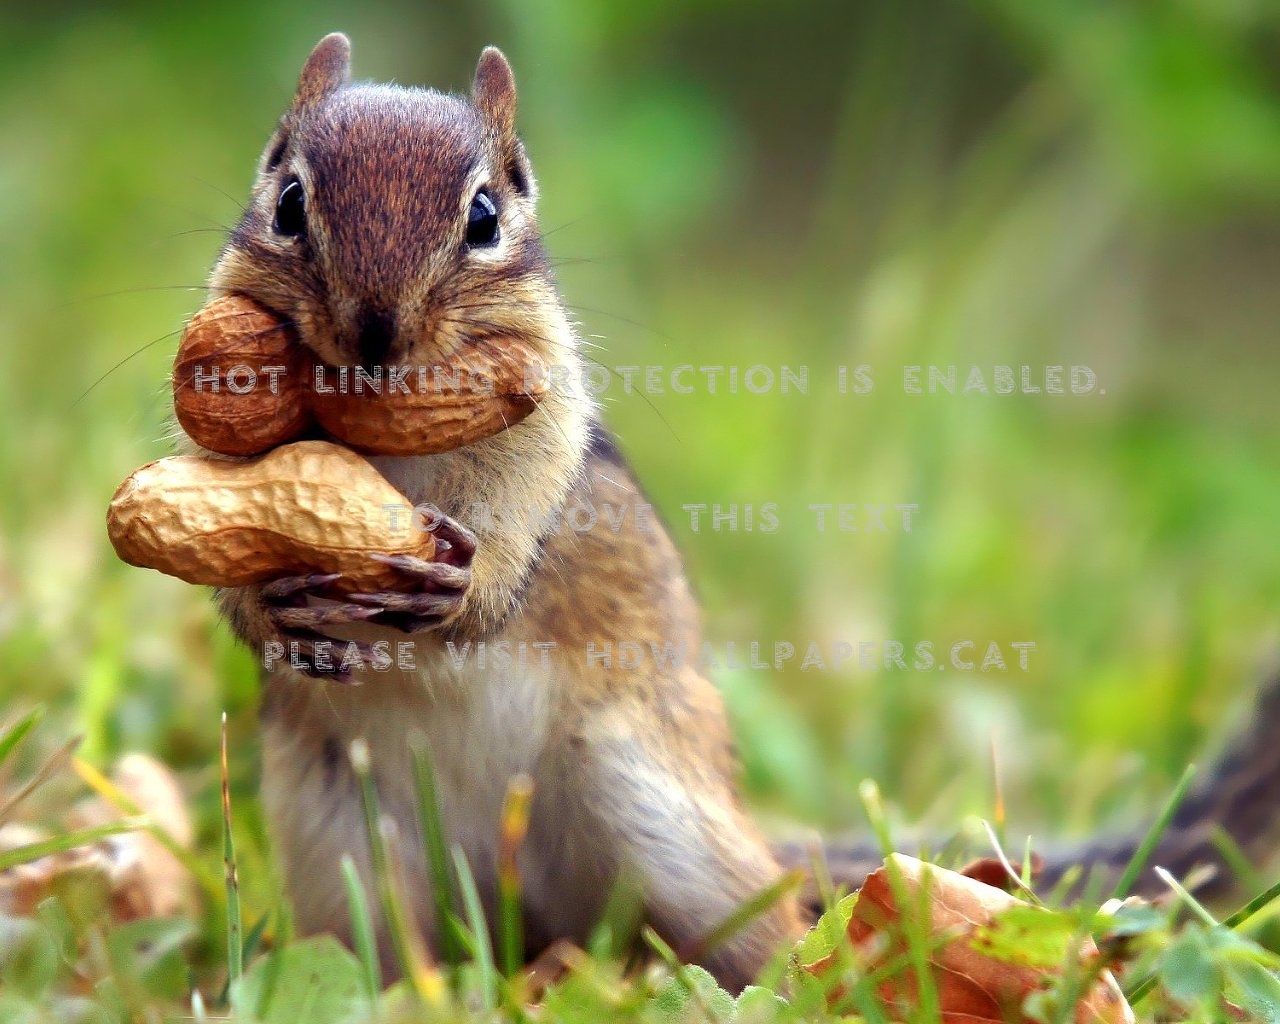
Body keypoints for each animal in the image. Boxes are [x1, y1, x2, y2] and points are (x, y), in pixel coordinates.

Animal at [186, 33, 1280, 991]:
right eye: (289, 200)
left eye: (485, 216)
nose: (373, 338)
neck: (381, 442)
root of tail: (518, 905)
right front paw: (273, 609)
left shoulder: (547, 432)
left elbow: (516, 535)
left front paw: (463, 589)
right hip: (342, 850)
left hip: (664, 824)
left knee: (772, 945)